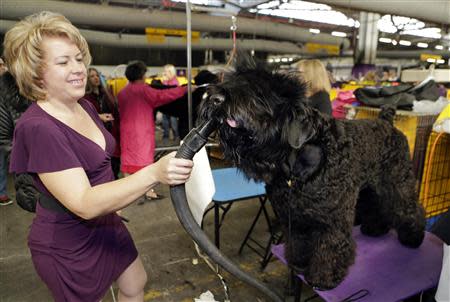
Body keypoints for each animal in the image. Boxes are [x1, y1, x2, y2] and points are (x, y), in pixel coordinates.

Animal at [200, 57, 426, 290]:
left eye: (260, 92)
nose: (215, 98)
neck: (295, 168)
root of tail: (387, 121)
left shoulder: (332, 220)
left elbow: (331, 246)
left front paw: (324, 278)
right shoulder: (294, 216)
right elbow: (299, 242)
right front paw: (299, 264)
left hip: (397, 180)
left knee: (409, 207)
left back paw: (413, 237)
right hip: (370, 187)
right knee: (376, 204)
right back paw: (375, 228)